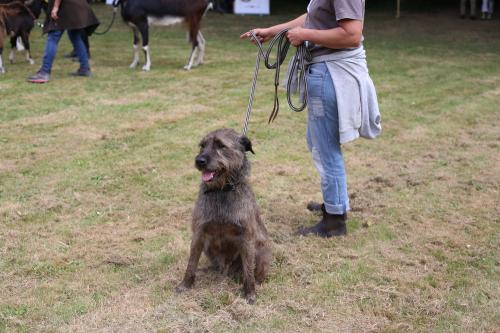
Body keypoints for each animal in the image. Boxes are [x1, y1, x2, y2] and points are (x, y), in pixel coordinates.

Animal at [175, 127, 272, 304]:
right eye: (202, 146)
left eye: (221, 145)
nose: (199, 161)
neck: (221, 190)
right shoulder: (199, 234)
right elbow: (191, 263)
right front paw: (185, 285)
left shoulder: (247, 237)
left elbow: (249, 270)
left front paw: (250, 293)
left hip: (261, 249)